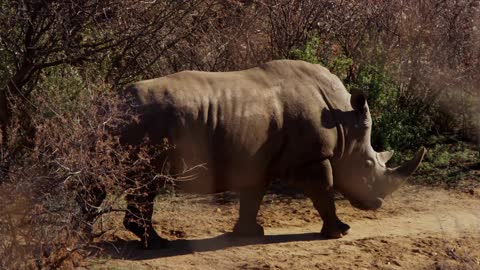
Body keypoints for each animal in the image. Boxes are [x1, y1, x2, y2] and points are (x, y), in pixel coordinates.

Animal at [119, 60, 424, 248]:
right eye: (369, 164)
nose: (376, 204)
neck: (343, 123)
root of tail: (115, 101)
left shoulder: (257, 158)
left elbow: (253, 196)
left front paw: (249, 235)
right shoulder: (312, 157)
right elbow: (324, 192)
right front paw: (339, 232)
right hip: (145, 123)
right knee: (144, 185)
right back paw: (158, 244)